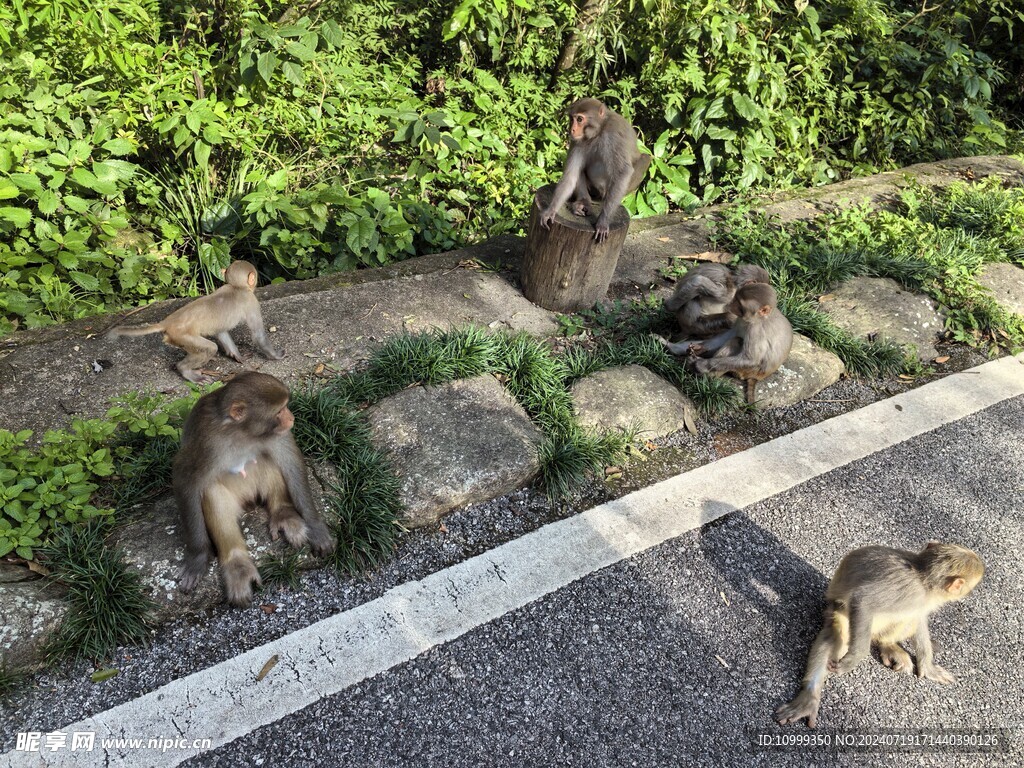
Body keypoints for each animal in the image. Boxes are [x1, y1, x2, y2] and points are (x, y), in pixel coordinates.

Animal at [107, 262, 284, 385]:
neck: (236, 287)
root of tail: (167, 322)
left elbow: (221, 332)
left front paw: (237, 356)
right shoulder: (251, 301)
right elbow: (258, 335)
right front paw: (276, 355)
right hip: (182, 336)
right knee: (209, 348)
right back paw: (186, 371)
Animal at [173, 370, 335, 606]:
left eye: (286, 407)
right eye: (279, 411)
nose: (291, 418)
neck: (242, 432)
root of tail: (249, 499)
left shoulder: (274, 434)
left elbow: (290, 460)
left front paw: (315, 526)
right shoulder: (205, 442)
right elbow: (185, 480)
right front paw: (197, 557)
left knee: (267, 458)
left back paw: (283, 514)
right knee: (211, 490)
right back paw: (237, 565)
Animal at [536, 96, 647, 241]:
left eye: (579, 119)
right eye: (571, 119)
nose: (571, 130)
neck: (598, 132)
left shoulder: (613, 135)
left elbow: (623, 172)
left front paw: (603, 221)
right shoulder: (577, 140)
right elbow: (571, 175)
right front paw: (550, 210)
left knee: (644, 158)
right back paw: (583, 202)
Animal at [774, 544, 983, 729]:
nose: (970, 593)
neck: (923, 578)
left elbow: (919, 619)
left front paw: (927, 666)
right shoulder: (910, 592)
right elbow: (863, 601)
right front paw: (854, 658)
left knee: (907, 619)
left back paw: (888, 645)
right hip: (841, 612)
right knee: (836, 636)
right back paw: (810, 696)